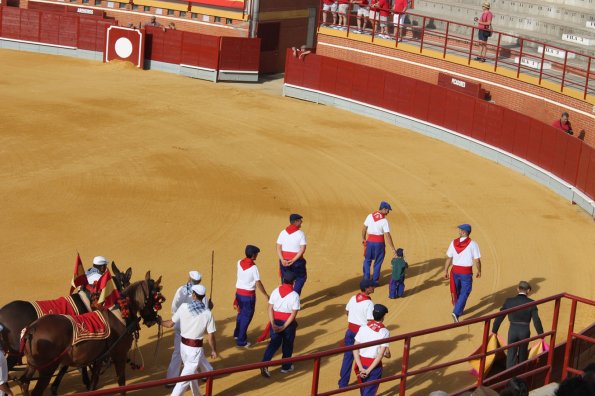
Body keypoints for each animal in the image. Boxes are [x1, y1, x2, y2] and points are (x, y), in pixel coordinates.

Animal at [18, 272, 163, 396]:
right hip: (47, 370)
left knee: (24, 382)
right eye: (157, 299)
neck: (120, 314)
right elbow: (121, 383)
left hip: (32, 366)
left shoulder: (98, 359)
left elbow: (93, 385)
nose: (152, 319)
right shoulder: (119, 355)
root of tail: (31, 329)